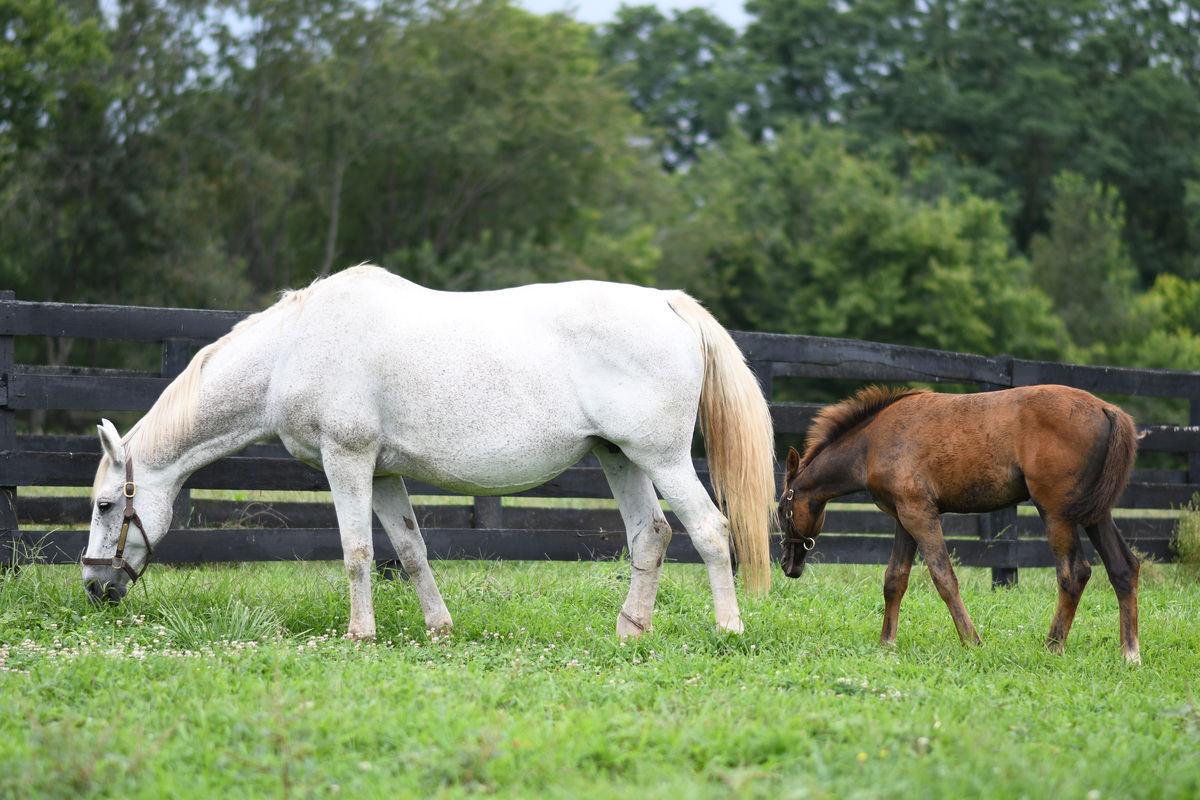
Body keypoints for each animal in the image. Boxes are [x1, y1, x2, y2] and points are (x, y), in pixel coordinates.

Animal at [83, 265, 777, 640]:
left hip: (661, 458)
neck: (292, 349)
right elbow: (411, 550)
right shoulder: (384, 473)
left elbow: (357, 552)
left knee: (710, 530)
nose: (94, 587)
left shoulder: (348, 461)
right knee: (650, 535)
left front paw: (360, 634)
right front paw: (439, 629)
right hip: (619, 457)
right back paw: (630, 632)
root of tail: (668, 303)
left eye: (105, 504)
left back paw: (729, 628)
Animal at [778, 385, 1141, 663]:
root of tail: (1106, 409)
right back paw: (1130, 654)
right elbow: (894, 579)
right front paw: (887, 644)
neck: (871, 442)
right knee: (1123, 566)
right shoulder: (904, 517)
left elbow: (944, 578)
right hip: (1094, 512)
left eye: (782, 508)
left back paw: (1053, 647)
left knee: (1074, 573)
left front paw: (972, 641)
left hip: (1056, 512)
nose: (787, 564)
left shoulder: (920, 514)